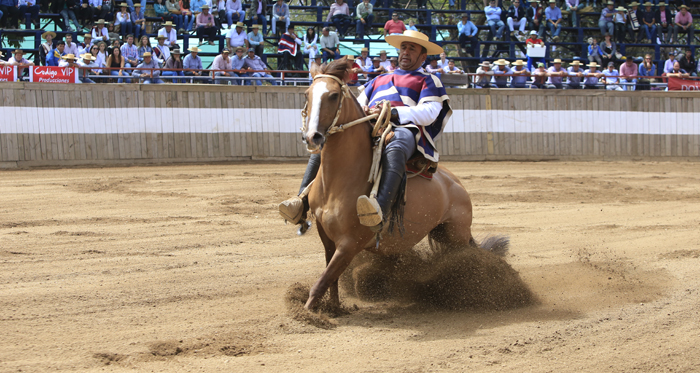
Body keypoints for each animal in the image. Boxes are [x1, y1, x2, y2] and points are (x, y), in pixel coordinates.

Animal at [304, 61, 494, 310]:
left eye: (334, 95)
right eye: (307, 94)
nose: (312, 137)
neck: (339, 181)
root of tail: (456, 185)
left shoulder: (350, 243)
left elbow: (323, 280)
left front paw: (307, 312)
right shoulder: (326, 235)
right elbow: (330, 277)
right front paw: (334, 308)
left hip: (456, 236)